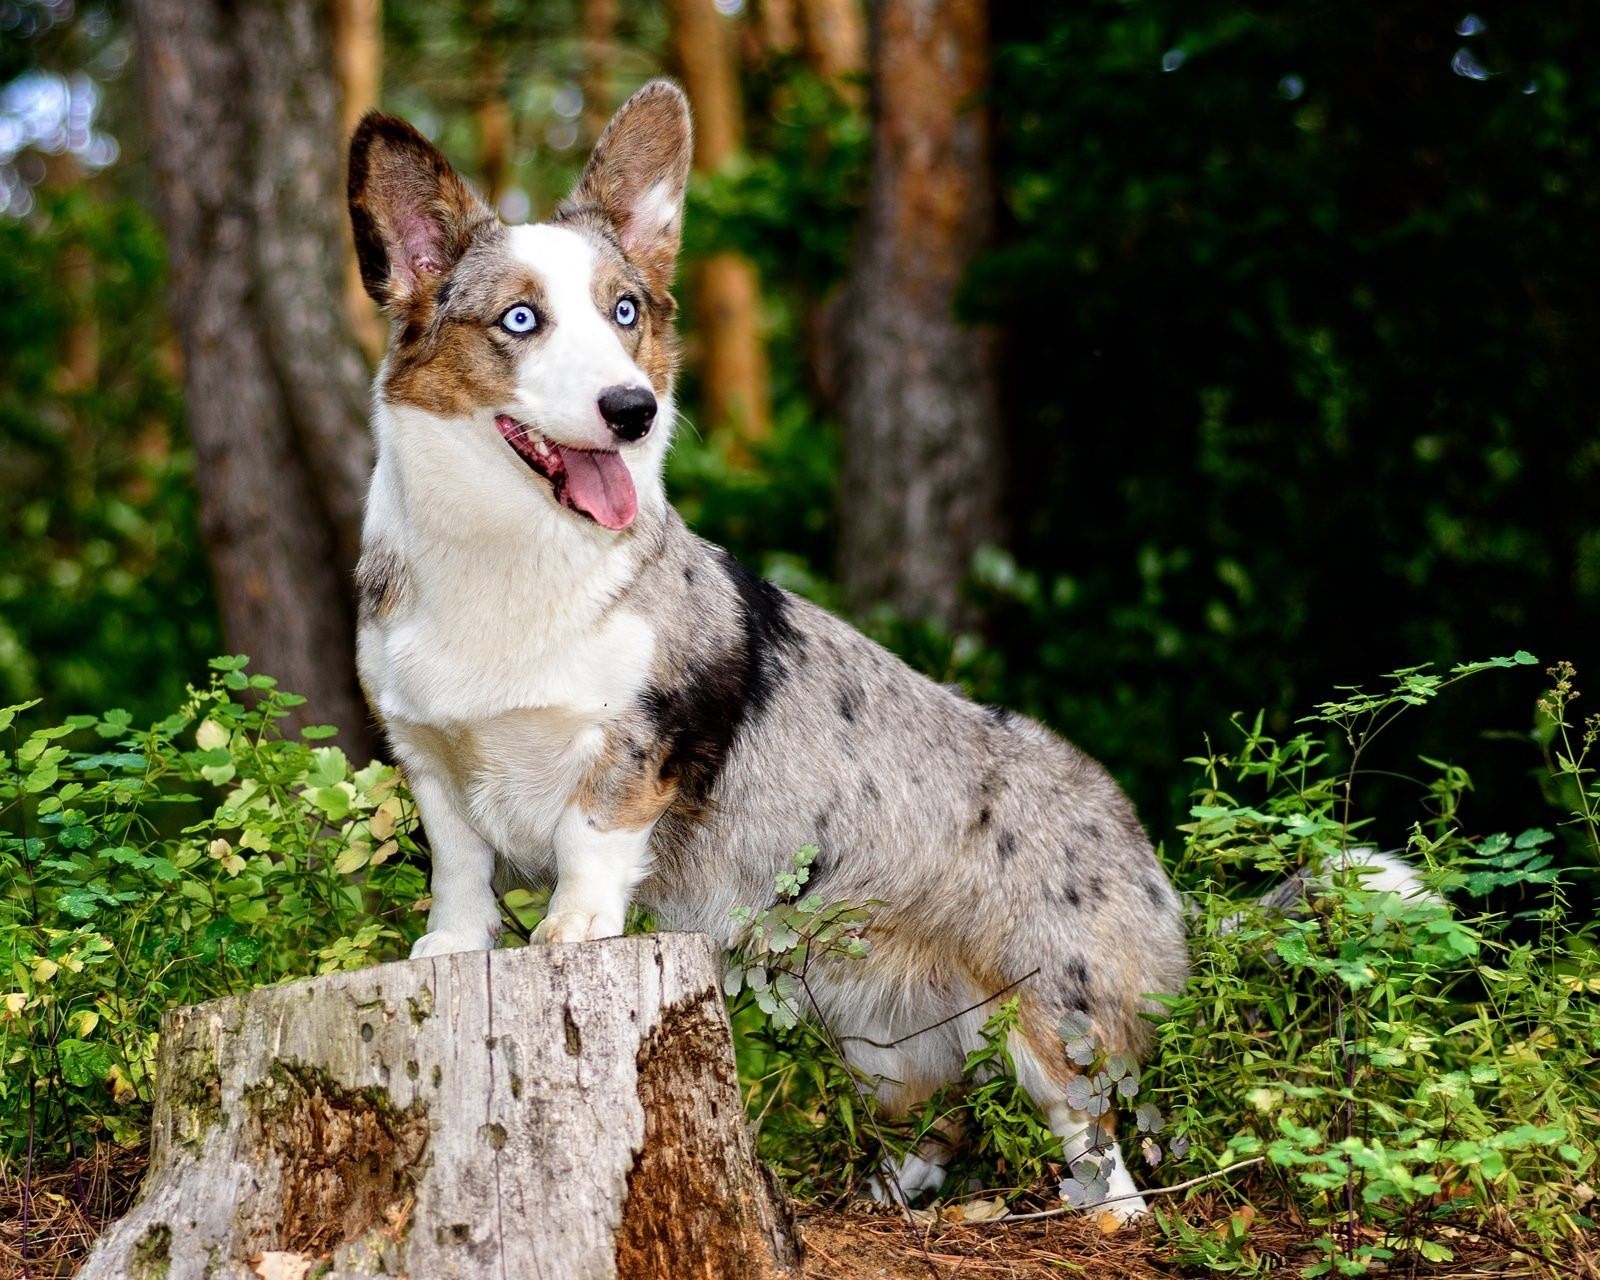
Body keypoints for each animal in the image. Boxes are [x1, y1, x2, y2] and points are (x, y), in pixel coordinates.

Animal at [344, 80, 1420, 1222]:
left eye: (625, 311)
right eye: (520, 319)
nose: (632, 412)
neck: (507, 560)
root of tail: (1154, 864)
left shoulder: (643, 739)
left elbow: (593, 836)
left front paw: (570, 933)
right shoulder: (427, 754)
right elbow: (459, 865)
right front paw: (450, 948)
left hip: (1052, 1017)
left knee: (1096, 1135)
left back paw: (1103, 1214)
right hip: (882, 1036)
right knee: (942, 1116)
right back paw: (888, 1193)